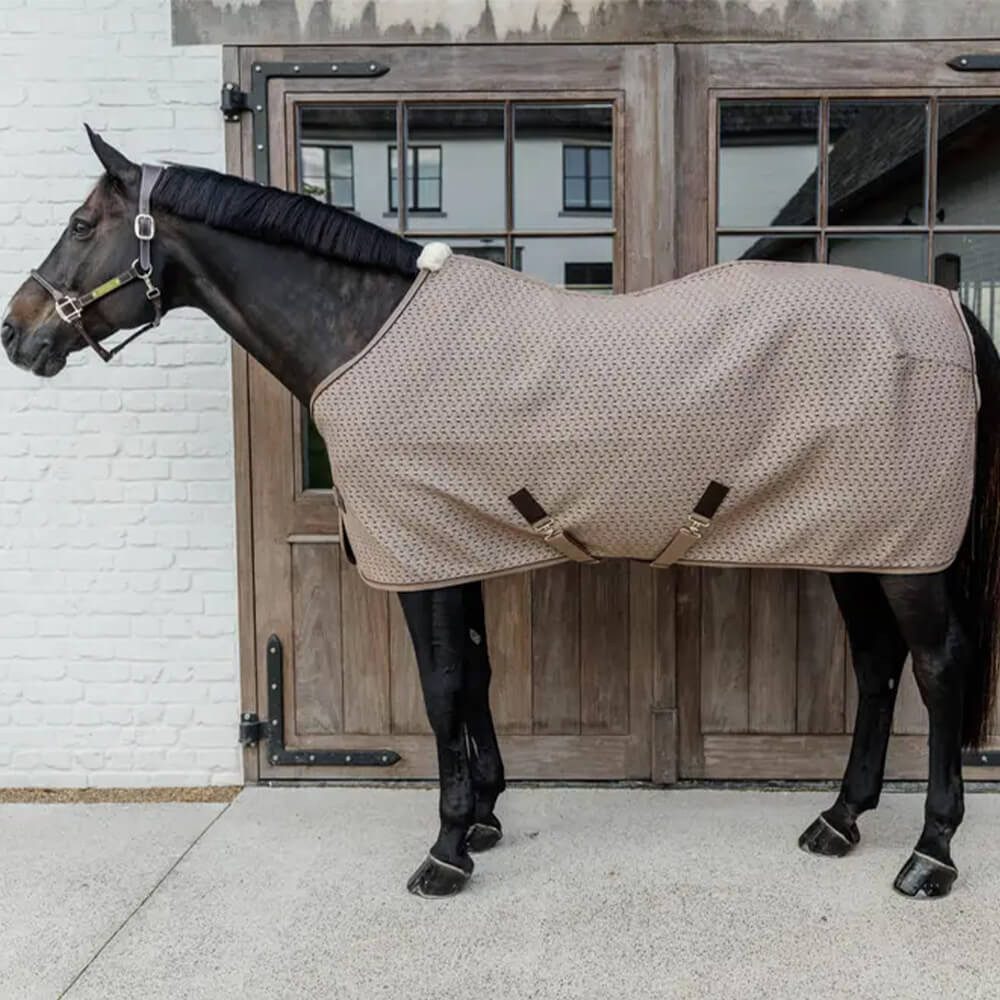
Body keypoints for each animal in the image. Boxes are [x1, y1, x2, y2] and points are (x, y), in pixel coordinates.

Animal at [4, 128, 998, 899]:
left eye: (82, 224)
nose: (17, 333)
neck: (368, 328)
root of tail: (950, 309)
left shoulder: (420, 557)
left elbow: (442, 686)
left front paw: (445, 851)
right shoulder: (456, 547)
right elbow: (475, 677)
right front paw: (483, 815)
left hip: (907, 558)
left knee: (938, 667)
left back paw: (929, 854)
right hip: (861, 544)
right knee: (877, 666)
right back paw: (841, 819)